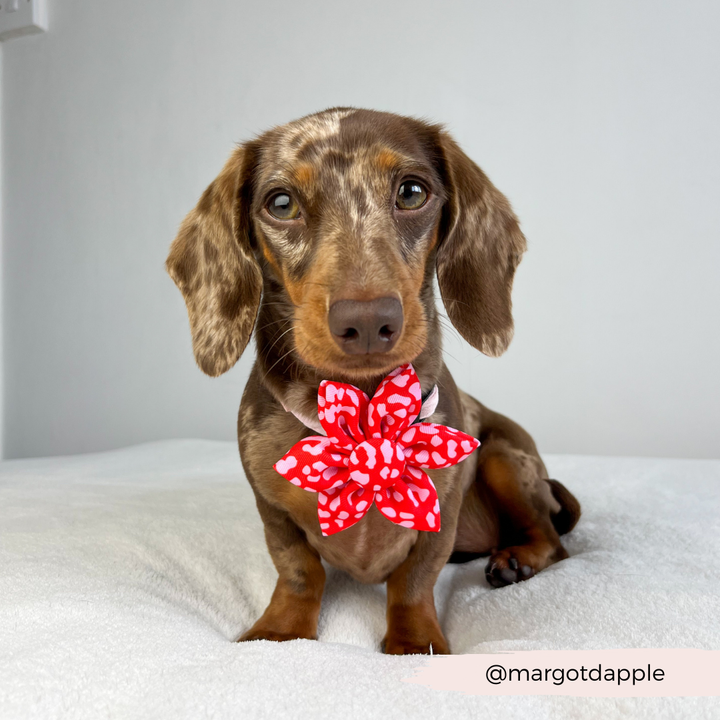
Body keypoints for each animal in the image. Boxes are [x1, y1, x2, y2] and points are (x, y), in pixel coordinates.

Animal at [166, 108, 584, 660]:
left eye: (411, 192)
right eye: (281, 203)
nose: (367, 322)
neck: (362, 408)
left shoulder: (441, 512)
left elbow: (414, 580)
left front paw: (413, 642)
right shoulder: (271, 509)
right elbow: (298, 570)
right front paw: (280, 630)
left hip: (502, 459)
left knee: (555, 542)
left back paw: (518, 558)